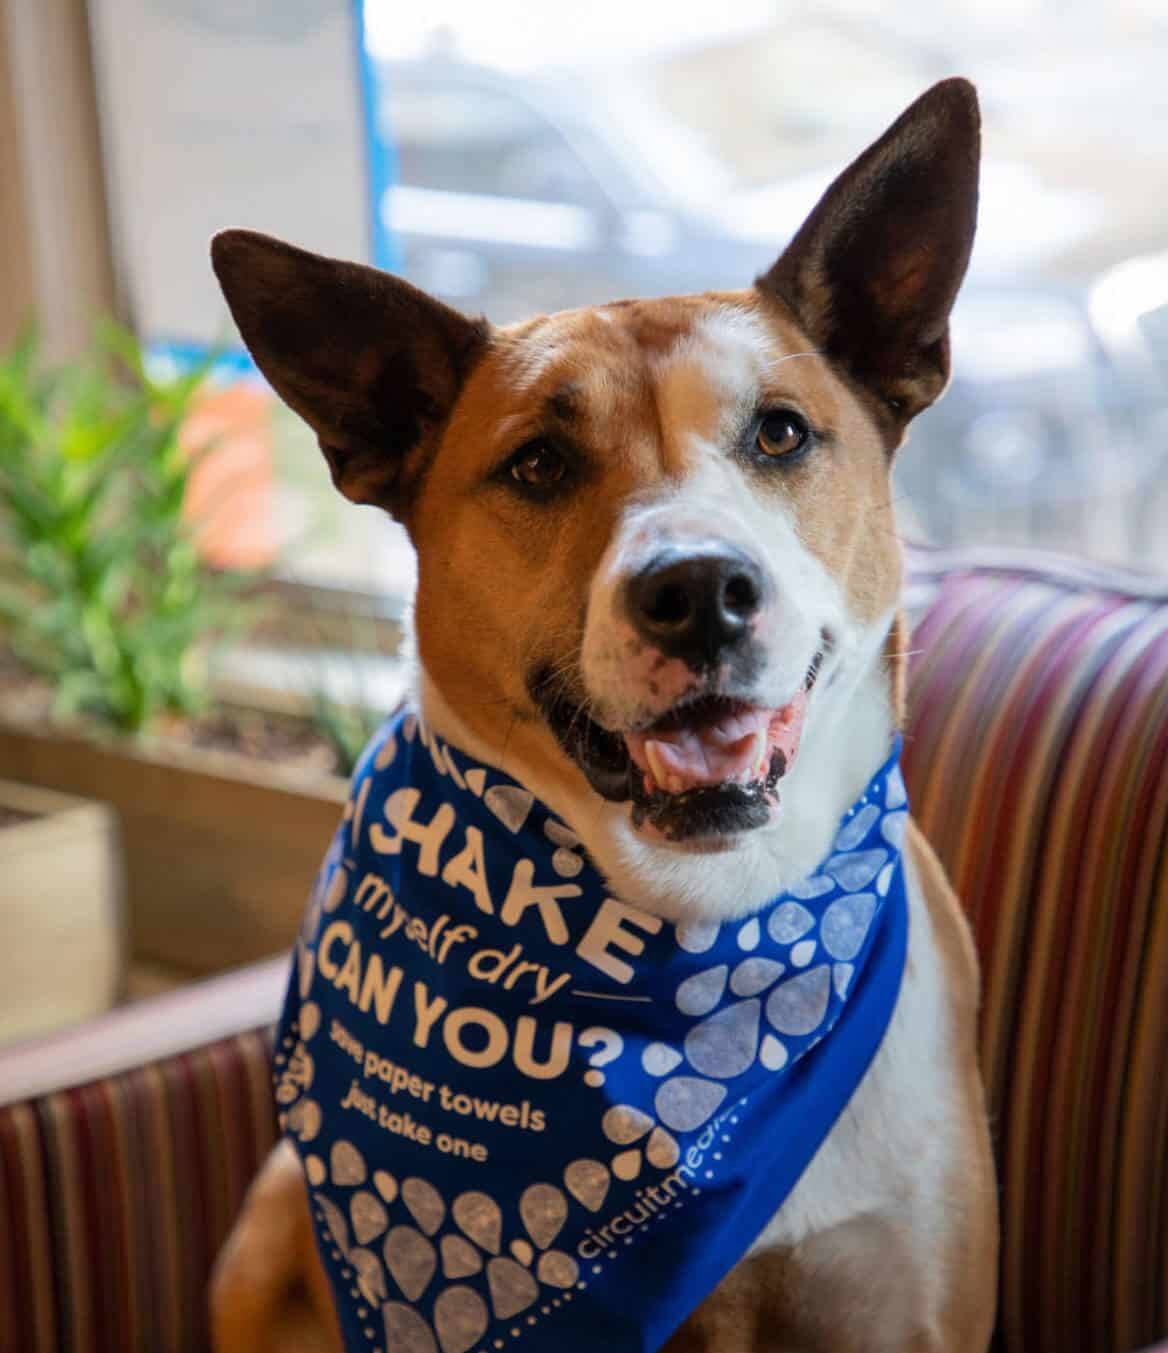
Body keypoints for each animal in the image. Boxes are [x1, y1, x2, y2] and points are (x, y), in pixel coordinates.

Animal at [208, 79, 996, 1353]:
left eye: (780, 432)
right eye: (537, 464)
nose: (699, 591)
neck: (704, 932)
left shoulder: (909, 1301)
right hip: (273, 1219)